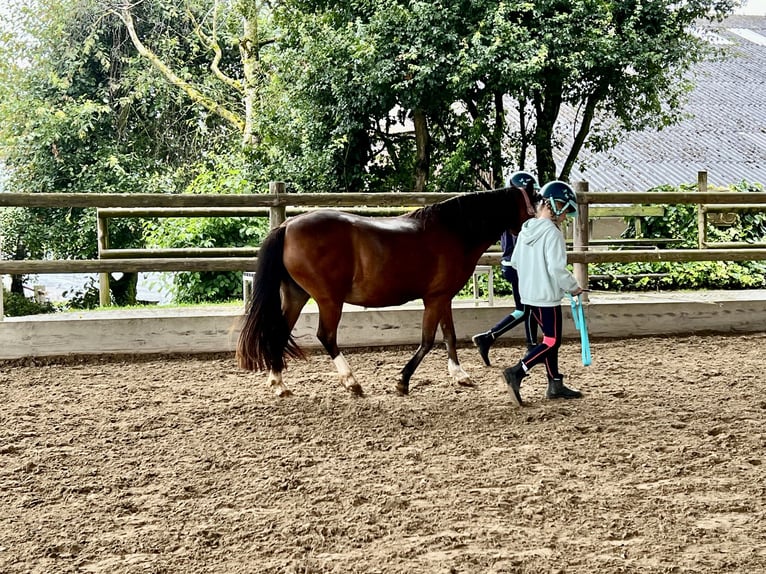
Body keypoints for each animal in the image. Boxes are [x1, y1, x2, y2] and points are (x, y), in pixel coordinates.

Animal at [237, 187, 536, 398]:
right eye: (534, 206)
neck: (454, 231)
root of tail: (287, 226)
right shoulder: (435, 299)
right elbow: (428, 340)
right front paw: (402, 381)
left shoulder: (443, 297)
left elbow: (449, 336)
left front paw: (459, 375)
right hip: (329, 300)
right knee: (326, 336)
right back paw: (352, 382)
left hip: (297, 296)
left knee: (278, 332)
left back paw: (278, 383)